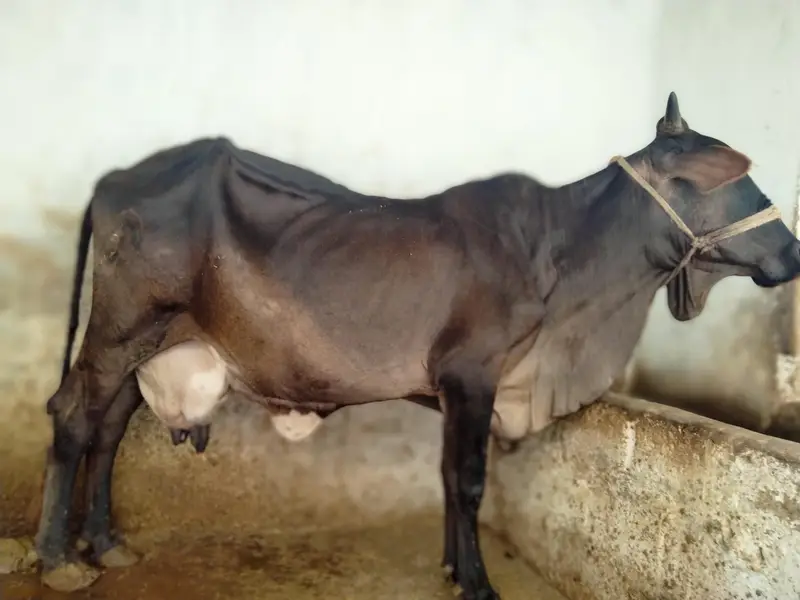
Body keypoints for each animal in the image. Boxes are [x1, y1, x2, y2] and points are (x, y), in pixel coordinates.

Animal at [29, 92, 799, 599]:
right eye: (732, 178)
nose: (791, 252)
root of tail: (118, 176)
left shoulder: (454, 392)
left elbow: (447, 478)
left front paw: (455, 569)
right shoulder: (472, 374)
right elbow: (469, 481)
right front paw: (479, 584)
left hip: (152, 346)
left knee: (109, 429)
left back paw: (106, 543)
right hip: (120, 329)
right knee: (72, 417)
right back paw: (57, 556)